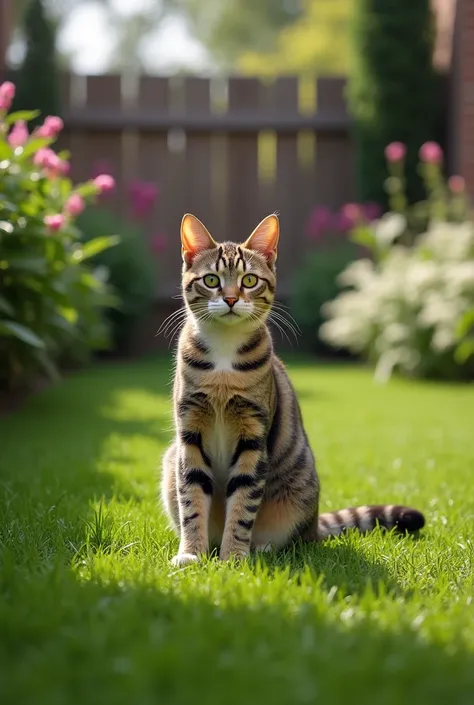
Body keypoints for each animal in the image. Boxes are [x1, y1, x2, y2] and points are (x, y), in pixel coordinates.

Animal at [161, 212, 424, 564]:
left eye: (249, 280)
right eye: (212, 280)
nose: (230, 299)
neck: (223, 362)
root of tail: (314, 524)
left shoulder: (253, 436)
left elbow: (243, 504)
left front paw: (234, 558)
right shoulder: (190, 431)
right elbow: (191, 500)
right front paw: (191, 554)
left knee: (290, 540)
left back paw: (260, 549)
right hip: (170, 460)